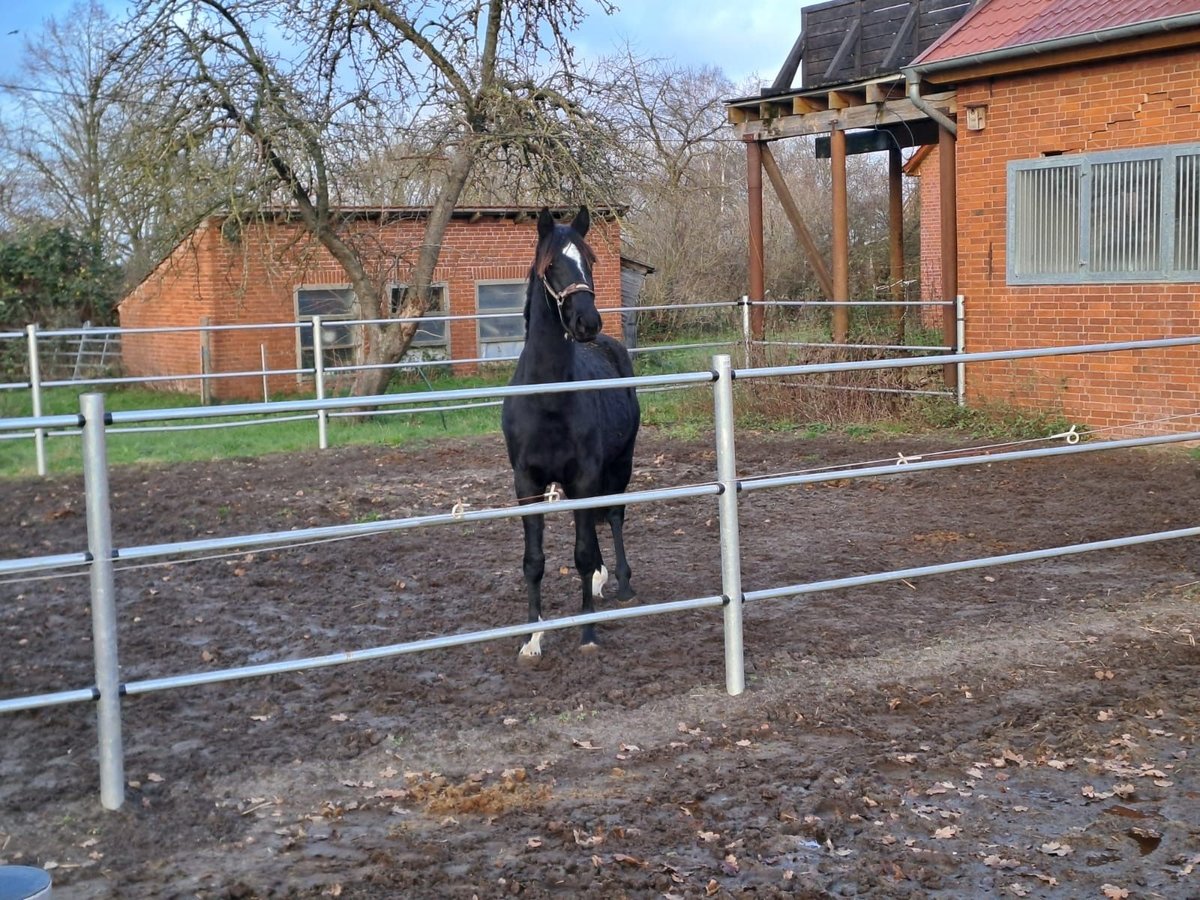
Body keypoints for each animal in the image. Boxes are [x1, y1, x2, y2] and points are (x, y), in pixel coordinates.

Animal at [501, 210, 643, 662]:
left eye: (590, 261)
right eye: (551, 266)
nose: (587, 321)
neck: (548, 399)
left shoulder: (584, 475)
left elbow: (581, 554)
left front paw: (588, 632)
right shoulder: (527, 483)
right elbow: (534, 561)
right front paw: (532, 638)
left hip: (619, 464)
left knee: (613, 516)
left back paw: (621, 583)